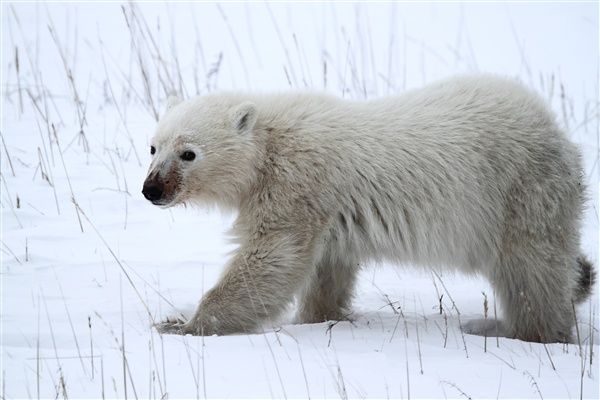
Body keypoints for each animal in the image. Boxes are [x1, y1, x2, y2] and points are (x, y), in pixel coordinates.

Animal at [142, 75, 596, 344]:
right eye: (153, 146)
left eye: (188, 153)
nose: (151, 189)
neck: (270, 141)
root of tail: (556, 131)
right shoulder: (326, 208)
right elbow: (326, 268)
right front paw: (317, 319)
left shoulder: (297, 183)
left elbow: (270, 257)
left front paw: (181, 325)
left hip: (521, 193)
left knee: (531, 272)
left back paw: (518, 331)